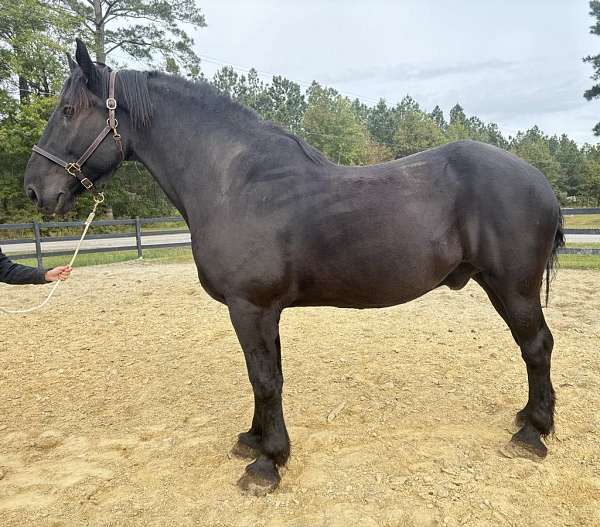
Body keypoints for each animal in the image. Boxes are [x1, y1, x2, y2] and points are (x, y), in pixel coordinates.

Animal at [23, 40, 564, 496]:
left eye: (68, 111)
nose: (34, 190)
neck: (236, 182)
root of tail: (537, 179)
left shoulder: (251, 306)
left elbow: (265, 379)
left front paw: (267, 464)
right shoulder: (263, 311)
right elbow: (263, 376)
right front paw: (253, 439)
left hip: (513, 288)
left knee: (536, 346)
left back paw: (533, 435)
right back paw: (525, 419)